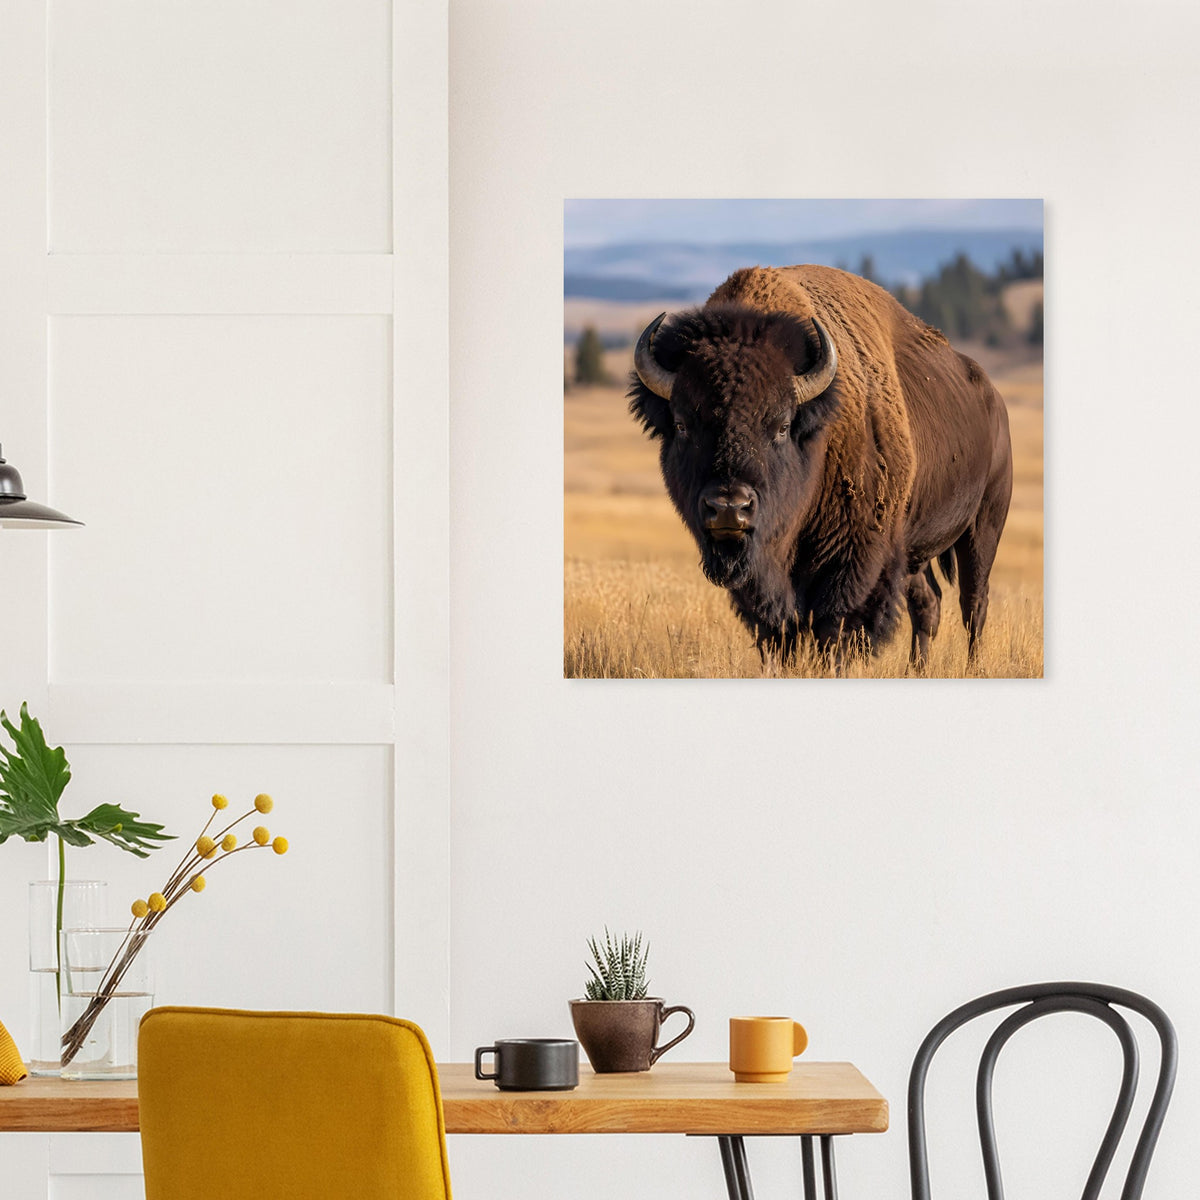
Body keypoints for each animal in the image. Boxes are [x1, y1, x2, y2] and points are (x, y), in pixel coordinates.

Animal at [629, 265, 1012, 667]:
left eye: (781, 425)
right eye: (681, 425)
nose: (729, 508)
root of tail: (992, 397)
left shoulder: (853, 561)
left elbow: (835, 629)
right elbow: (777, 631)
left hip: (984, 524)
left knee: (974, 602)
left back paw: (972, 666)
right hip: (914, 549)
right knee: (928, 601)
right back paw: (916, 670)